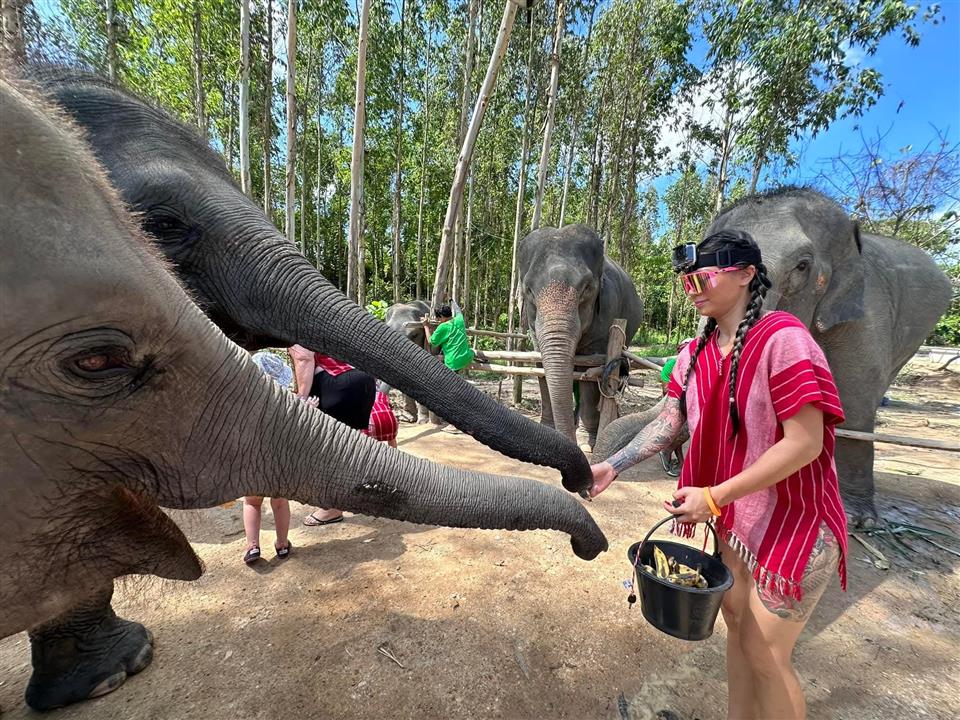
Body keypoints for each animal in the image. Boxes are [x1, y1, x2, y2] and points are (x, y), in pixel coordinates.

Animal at [517, 224, 644, 447]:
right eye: (529, 290)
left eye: (587, 288)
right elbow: (541, 366)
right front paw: (548, 430)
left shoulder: (607, 309)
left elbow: (589, 370)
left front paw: (587, 443)